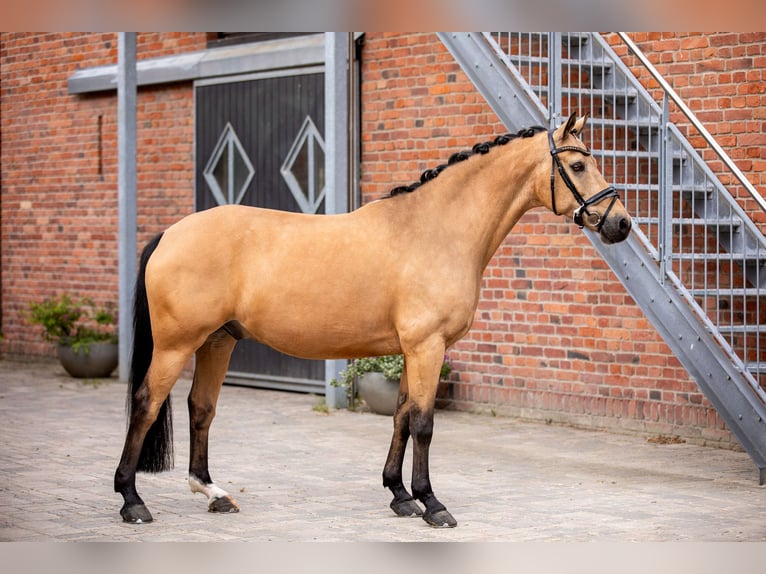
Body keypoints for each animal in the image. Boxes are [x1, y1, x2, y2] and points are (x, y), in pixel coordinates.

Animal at [112, 113, 632, 532]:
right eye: (579, 166)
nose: (621, 224)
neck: (435, 229)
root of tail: (170, 233)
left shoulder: (412, 350)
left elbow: (401, 417)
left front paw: (400, 497)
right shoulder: (427, 346)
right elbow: (423, 423)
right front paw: (432, 504)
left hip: (218, 341)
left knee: (201, 408)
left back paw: (213, 492)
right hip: (177, 345)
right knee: (146, 405)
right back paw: (132, 501)